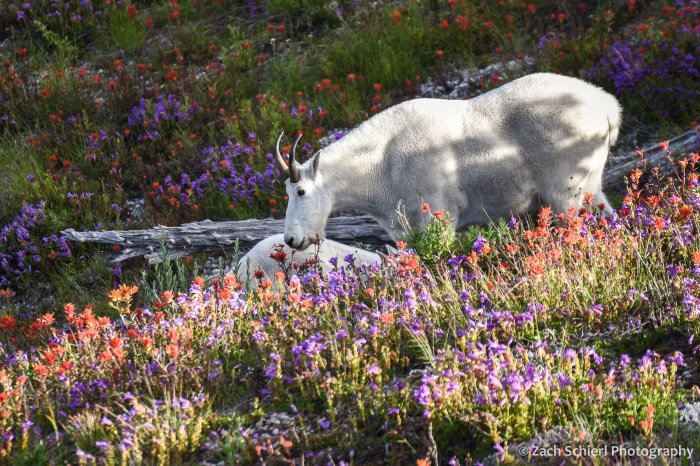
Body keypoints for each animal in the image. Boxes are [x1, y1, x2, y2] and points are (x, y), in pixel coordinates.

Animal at [275, 73, 621, 250]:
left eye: (301, 191)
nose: (292, 239)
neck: (380, 165)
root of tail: (607, 106)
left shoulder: (439, 216)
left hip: (565, 189)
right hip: (590, 183)